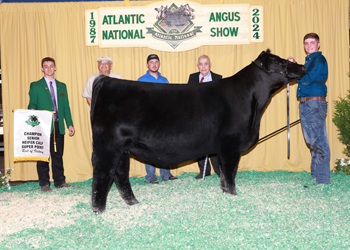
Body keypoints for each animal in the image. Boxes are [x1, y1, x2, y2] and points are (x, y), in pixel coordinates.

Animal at [89, 49, 304, 214]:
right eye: (278, 61)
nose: (301, 66)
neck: (253, 103)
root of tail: (106, 81)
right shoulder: (231, 145)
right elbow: (230, 172)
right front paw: (232, 195)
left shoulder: (223, 148)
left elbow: (224, 173)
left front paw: (225, 193)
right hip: (107, 146)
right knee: (102, 174)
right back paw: (99, 210)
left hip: (123, 150)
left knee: (120, 175)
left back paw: (132, 202)